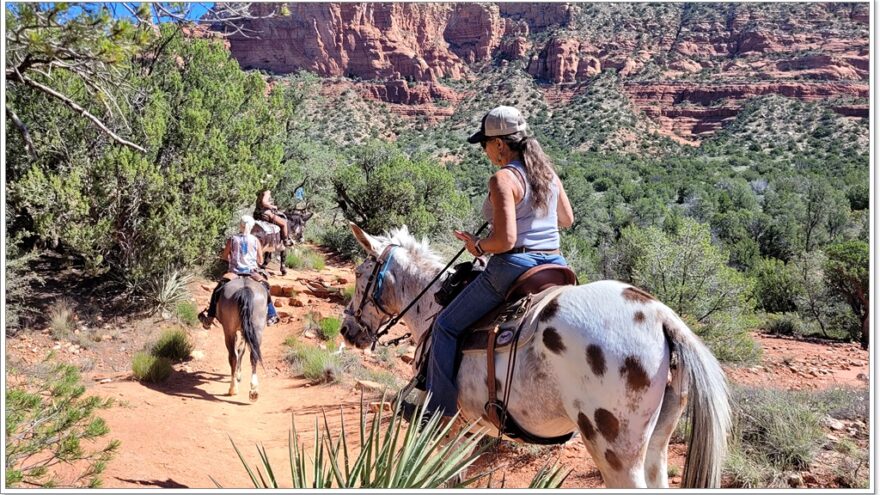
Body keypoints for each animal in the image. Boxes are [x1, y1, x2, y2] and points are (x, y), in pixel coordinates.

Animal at [336, 225, 728, 488]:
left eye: (359, 273)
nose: (346, 330)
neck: (435, 305)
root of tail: (661, 315)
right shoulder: (474, 426)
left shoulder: (448, 423)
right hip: (657, 443)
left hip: (615, 453)